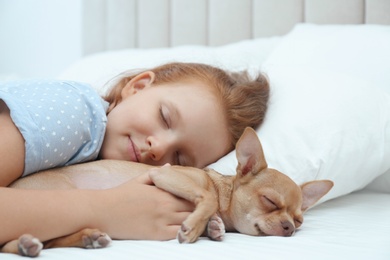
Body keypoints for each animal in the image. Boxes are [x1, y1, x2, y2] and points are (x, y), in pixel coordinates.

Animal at [1, 127, 334, 256]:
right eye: (269, 201)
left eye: (299, 221)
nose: (289, 227)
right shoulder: (164, 173)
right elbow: (208, 197)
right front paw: (196, 226)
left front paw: (212, 227)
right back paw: (29, 244)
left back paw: (86, 238)